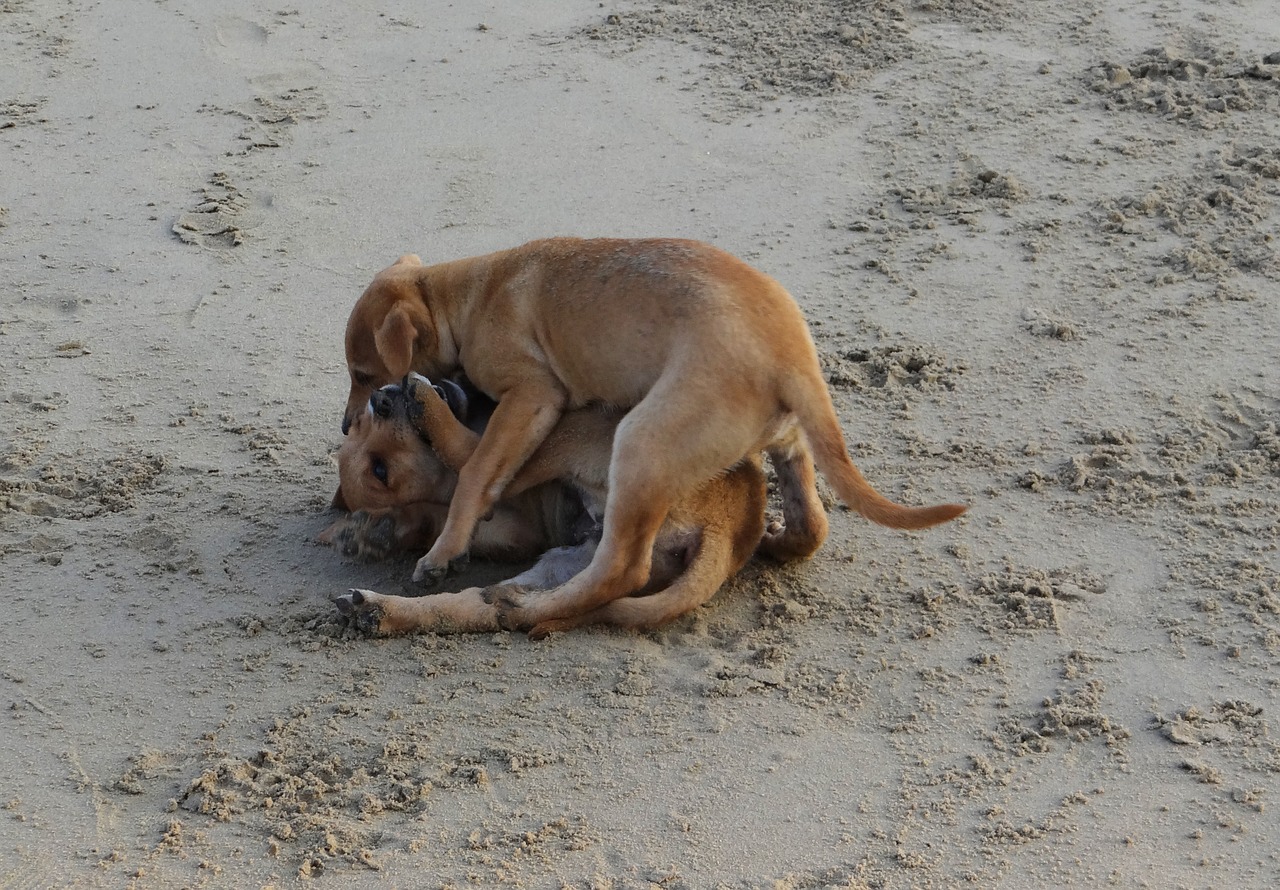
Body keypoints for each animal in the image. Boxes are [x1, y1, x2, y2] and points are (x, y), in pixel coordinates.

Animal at [330, 371, 768, 637]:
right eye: (380, 470)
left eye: (362, 423)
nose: (379, 400)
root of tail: (729, 529)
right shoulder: (518, 528)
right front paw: (382, 530)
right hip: (572, 466)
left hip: (575, 430)